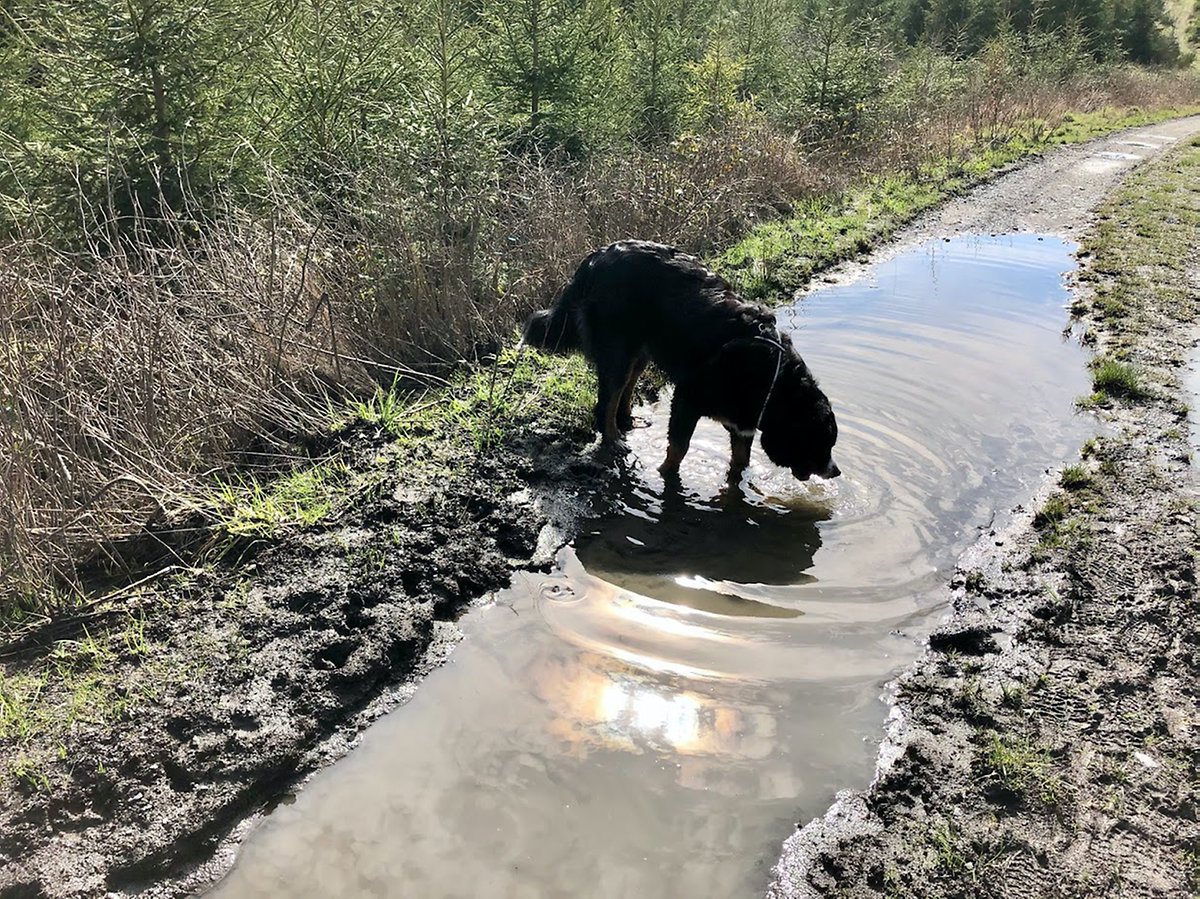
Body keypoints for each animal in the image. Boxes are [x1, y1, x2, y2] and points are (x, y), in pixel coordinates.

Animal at [520, 235, 840, 480]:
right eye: (823, 444)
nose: (835, 471)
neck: (771, 378)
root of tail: (596, 258)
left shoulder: (743, 421)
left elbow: (741, 459)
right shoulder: (688, 398)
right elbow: (679, 447)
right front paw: (666, 474)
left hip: (641, 350)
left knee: (627, 387)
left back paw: (628, 420)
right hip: (618, 350)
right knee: (606, 402)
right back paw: (614, 441)